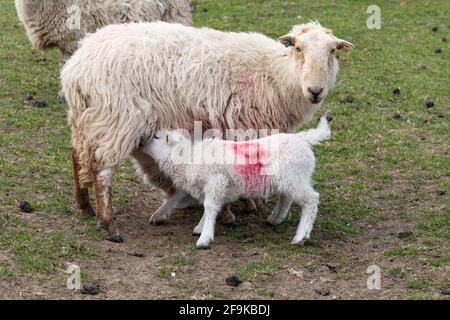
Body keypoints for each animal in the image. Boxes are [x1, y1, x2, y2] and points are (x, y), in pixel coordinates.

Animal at [141, 114, 334, 249]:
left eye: (157, 137)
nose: (142, 141)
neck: (189, 158)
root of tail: (302, 138)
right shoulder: (209, 187)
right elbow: (207, 206)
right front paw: (200, 227)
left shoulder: (216, 181)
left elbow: (209, 206)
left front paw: (204, 237)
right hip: (289, 178)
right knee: (287, 197)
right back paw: (275, 218)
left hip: (294, 177)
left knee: (311, 200)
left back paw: (301, 236)